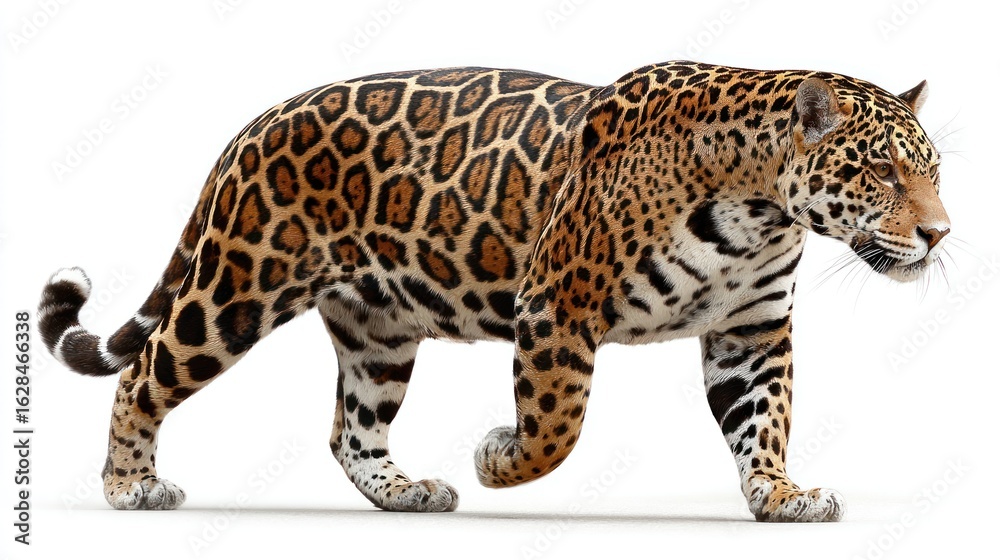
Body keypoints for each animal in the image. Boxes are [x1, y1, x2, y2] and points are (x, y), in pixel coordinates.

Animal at [38, 61, 950, 521]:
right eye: (880, 171)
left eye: (933, 171)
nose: (940, 234)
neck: (759, 204)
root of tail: (255, 122)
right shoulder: (555, 305)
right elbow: (558, 426)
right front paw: (498, 458)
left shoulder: (751, 330)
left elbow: (765, 420)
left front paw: (780, 495)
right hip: (235, 288)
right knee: (142, 373)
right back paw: (129, 486)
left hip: (378, 326)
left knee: (350, 428)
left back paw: (403, 492)